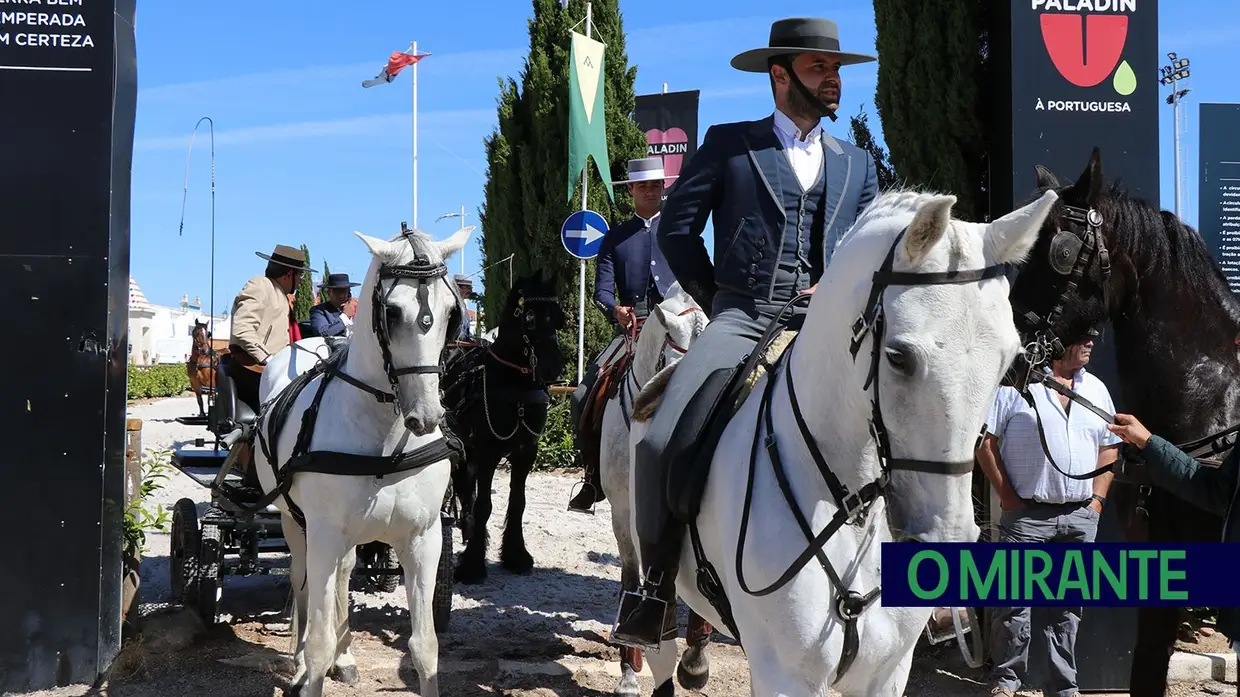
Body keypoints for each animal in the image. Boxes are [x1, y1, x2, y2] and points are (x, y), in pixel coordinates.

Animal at [254, 225, 471, 689]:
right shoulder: (321, 533)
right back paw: (300, 656)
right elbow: (317, 646)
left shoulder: (424, 539)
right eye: (391, 311)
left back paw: (346, 654)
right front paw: (312, 663)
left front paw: (345, 653)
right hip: (294, 521)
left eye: (451, 313)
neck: (384, 442)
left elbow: (425, 648)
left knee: (343, 573)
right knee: (301, 580)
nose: (426, 415)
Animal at [441, 269, 567, 582]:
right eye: (529, 318)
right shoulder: (488, 450)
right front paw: (473, 564)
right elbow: (484, 505)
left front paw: (515, 554)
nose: (553, 367)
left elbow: (518, 503)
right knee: (465, 485)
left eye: (559, 319)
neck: (516, 386)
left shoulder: (526, 452)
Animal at [629, 187, 1056, 689]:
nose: (945, 537)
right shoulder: (784, 676)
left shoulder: (889, 671)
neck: (852, 510)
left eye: (1009, 359)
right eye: (897, 357)